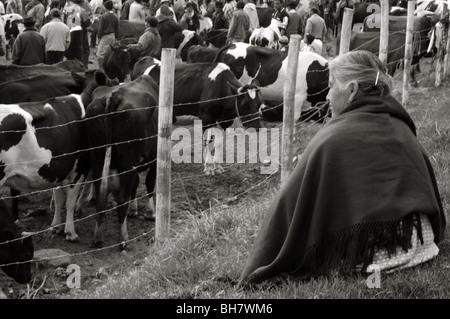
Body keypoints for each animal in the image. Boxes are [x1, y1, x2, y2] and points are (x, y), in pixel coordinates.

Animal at [0, 69, 110, 242]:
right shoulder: (79, 167)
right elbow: (70, 201)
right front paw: (70, 232)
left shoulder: (58, 168)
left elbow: (59, 198)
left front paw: (56, 226)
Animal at [85, 75, 160, 250]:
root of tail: (113, 97)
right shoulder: (154, 156)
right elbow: (149, 182)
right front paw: (150, 213)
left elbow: (135, 183)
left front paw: (134, 210)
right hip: (127, 158)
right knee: (122, 199)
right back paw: (124, 239)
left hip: (97, 156)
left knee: (101, 199)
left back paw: (97, 237)